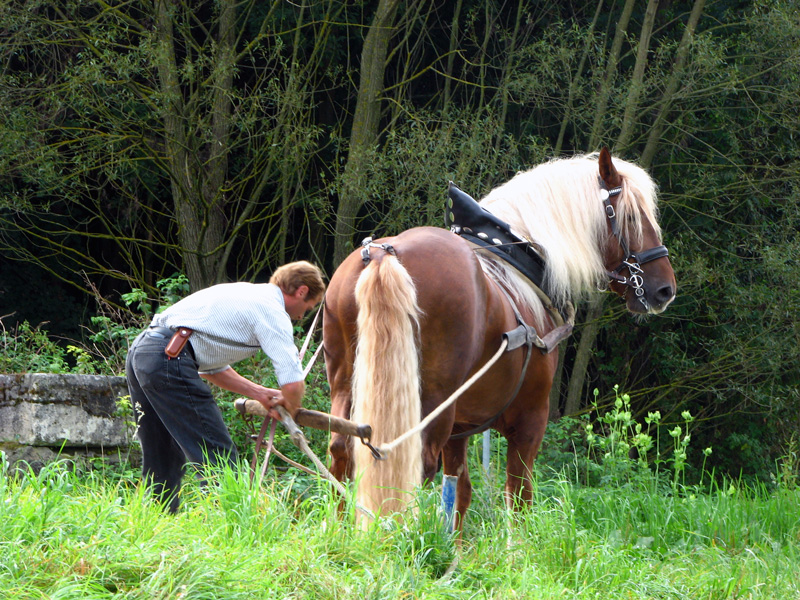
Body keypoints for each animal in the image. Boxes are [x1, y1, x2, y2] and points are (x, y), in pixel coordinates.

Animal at [318, 148, 676, 528]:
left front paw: (452, 543)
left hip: (346, 383)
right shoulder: (530, 420)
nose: (665, 289)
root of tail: (386, 254)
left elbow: (458, 492)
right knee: (414, 467)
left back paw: (341, 532)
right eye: (632, 216)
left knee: (342, 450)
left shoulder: (460, 426)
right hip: (432, 402)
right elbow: (518, 498)